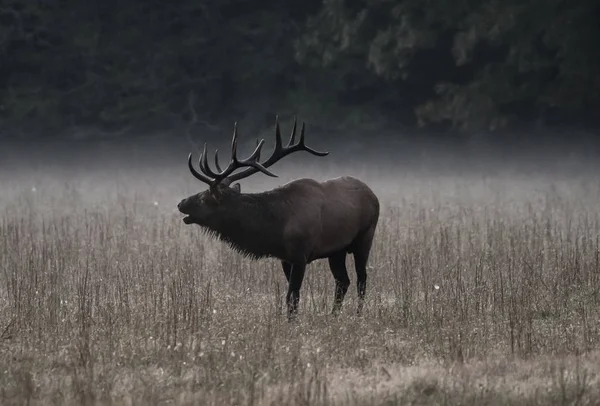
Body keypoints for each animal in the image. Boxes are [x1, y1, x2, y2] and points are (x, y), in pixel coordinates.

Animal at [177, 116, 380, 318]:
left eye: (203, 198)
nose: (181, 203)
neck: (276, 227)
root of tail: (374, 196)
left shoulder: (300, 255)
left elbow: (293, 296)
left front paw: (292, 321)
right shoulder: (285, 258)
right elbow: (290, 297)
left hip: (365, 238)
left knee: (361, 279)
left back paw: (358, 314)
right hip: (337, 250)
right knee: (342, 281)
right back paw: (333, 315)